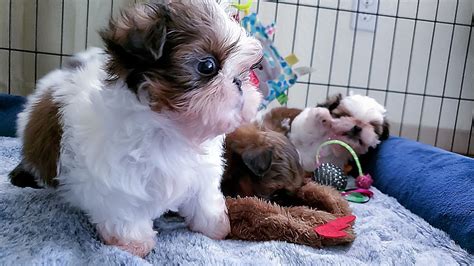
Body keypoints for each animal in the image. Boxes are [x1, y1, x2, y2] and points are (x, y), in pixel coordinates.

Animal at [9, 1, 262, 256]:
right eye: (207, 66)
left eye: (246, 70)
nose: (239, 81)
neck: (172, 131)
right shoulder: (116, 183)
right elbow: (125, 214)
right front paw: (133, 244)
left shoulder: (203, 173)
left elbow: (205, 200)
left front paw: (216, 227)